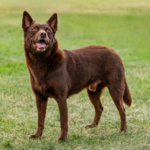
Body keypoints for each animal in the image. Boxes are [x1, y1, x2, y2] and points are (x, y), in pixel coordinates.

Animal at [21, 11, 132, 141]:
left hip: (115, 89)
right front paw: (37, 135)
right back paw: (93, 125)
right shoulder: (40, 99)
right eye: (34, 29)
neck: (41, 61)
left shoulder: (61, 98)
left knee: (122, 110)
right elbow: (40, 120)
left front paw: (63, 138)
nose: (43, 34)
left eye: (48, 30)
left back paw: (123, 129)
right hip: (93, 92)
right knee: (99, 108)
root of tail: (115, 52)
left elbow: (63, 121)